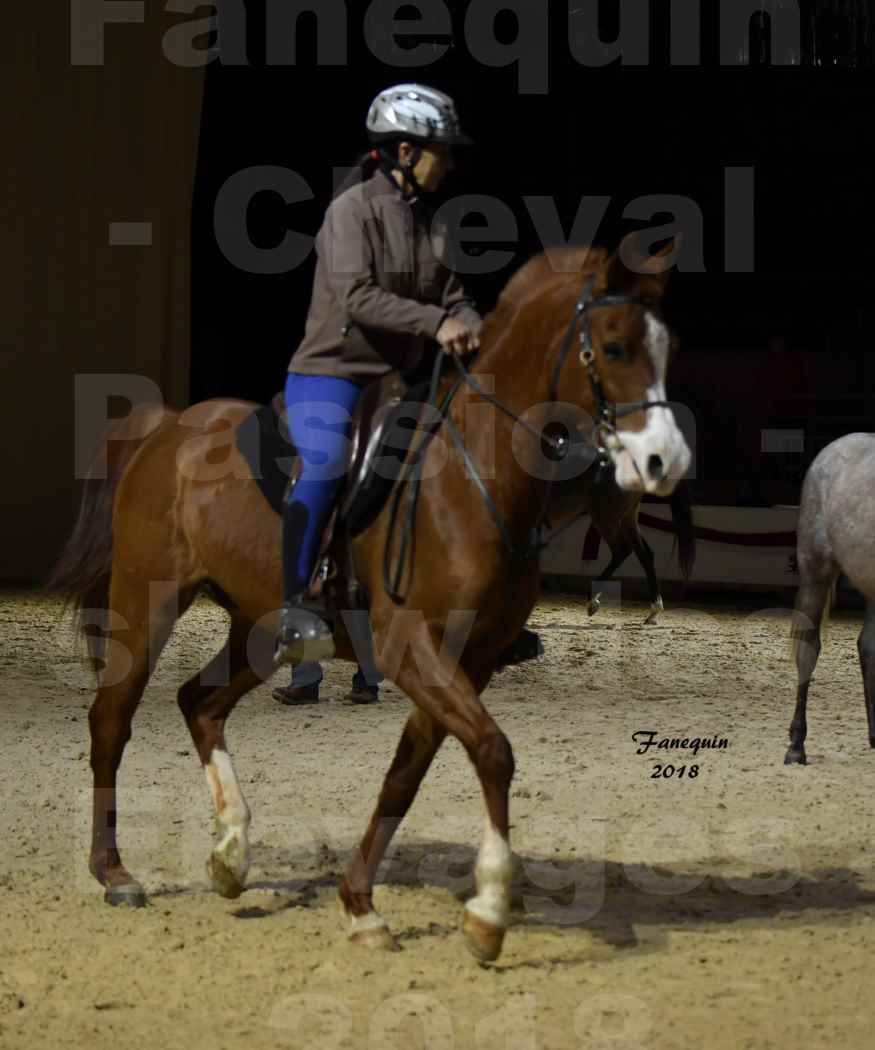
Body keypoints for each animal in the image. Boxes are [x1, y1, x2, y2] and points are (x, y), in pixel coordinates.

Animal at [46, 237, 691, 963]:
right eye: (613, 347)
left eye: (666, 348)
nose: (665, 462)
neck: (475, 474)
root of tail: (166, 428)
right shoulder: (410, 648)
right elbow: (493, 751)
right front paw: (488, 912)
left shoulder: (469, 660)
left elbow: (408, 774)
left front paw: (362, 905)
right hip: (146, 603)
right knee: (112, 720)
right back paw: (115, 873)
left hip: (257, 628)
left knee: (200, 701)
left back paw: (230, 854)